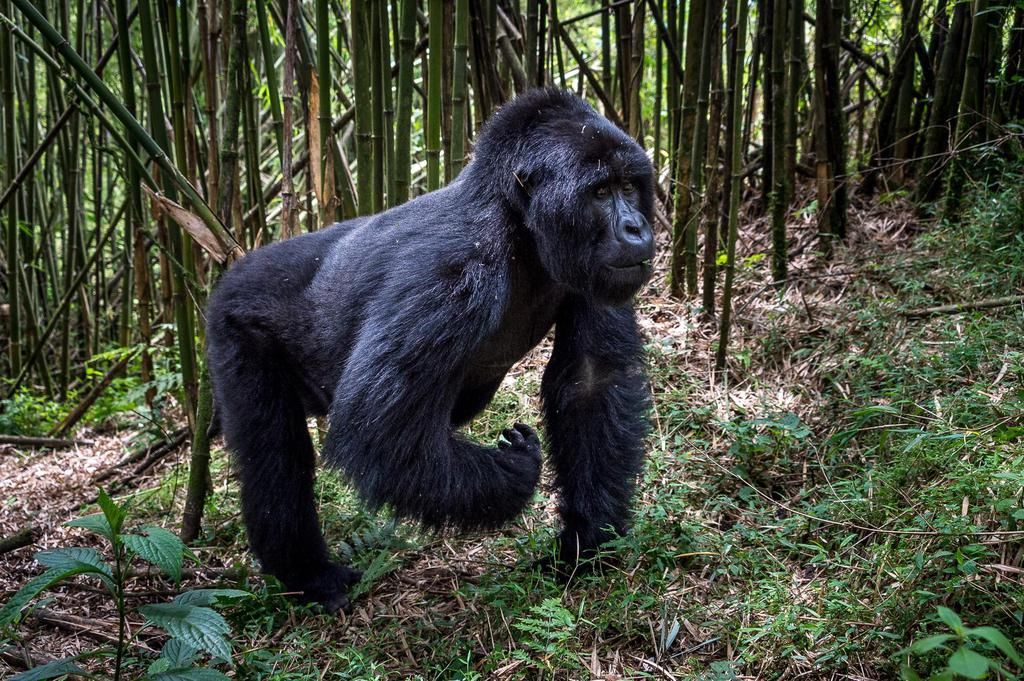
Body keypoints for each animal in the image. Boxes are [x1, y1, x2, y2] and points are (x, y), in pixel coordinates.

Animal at [207, 87, 655, 614]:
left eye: (629, 186)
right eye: (600, 193)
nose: (636, 228)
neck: (515, 221)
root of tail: (237, 267)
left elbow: (591, 382)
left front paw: (587, 540)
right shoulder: (455, 269)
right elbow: (378, 432)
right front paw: (516, 472)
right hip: (234, 319)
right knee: (275, 452)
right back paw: (307, 572)